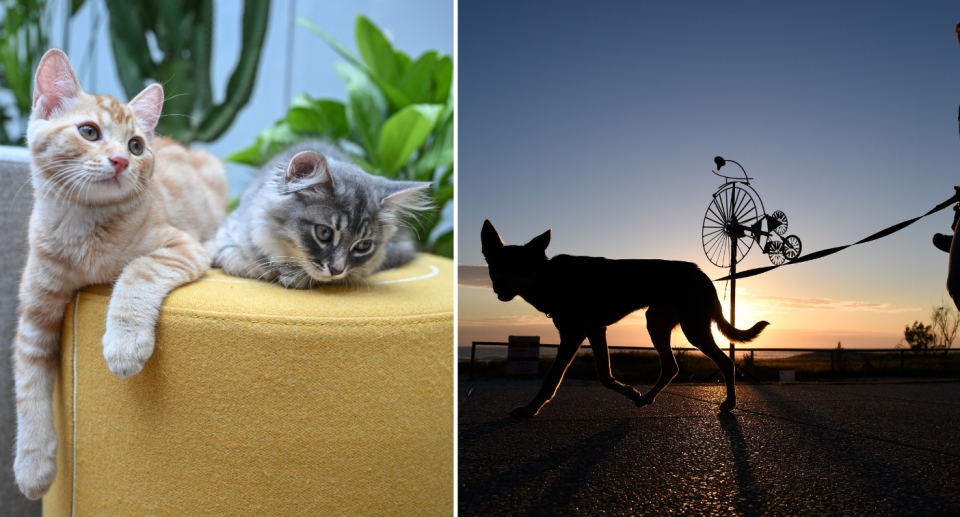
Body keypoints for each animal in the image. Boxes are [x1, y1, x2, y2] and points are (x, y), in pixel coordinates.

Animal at [13, 50, 227, 498]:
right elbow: (29, 385)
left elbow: (137, 269)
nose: (121, 160)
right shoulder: (34, 313)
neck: (84, 231)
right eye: (89, 131)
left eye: (136, 145)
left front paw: (124, 344)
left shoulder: (181, 247)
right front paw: (33, 464)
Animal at [214, 141, 436, 286]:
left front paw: (293, 276)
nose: (337, 270)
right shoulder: (228, 232)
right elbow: (236, 259)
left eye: (363, 245)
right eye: (324, 233)